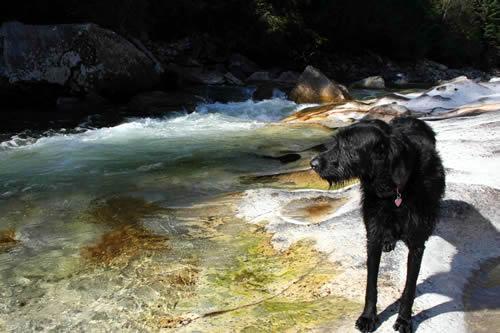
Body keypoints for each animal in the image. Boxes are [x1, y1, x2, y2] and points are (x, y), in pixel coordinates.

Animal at [312, 117, 446, 332]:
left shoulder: (417, 245)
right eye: (336, 141)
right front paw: (368, 317)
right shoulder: (372, 237)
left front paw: (404, 320)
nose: (313, 163)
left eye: (348, 144)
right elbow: (371, 284)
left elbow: (409, 288)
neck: (394, 191)